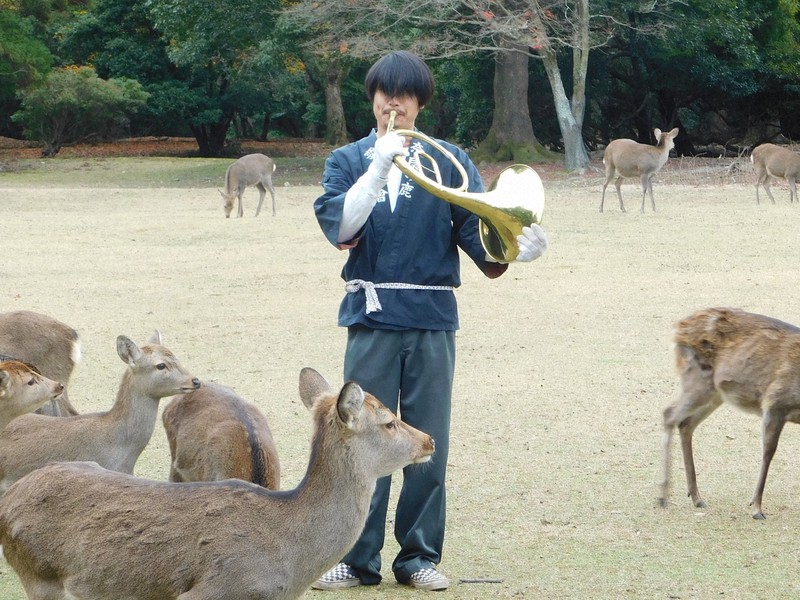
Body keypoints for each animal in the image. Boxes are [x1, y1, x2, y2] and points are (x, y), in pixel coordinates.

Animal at [659, 306, 800, 520]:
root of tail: (678, 328)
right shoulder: (776, 402)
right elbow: (768, 451)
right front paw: (756, 508)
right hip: (697, 379)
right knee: (669, 414)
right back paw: (663, 496)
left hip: (715, 394)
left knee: (686, 423)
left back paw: (696, 497)